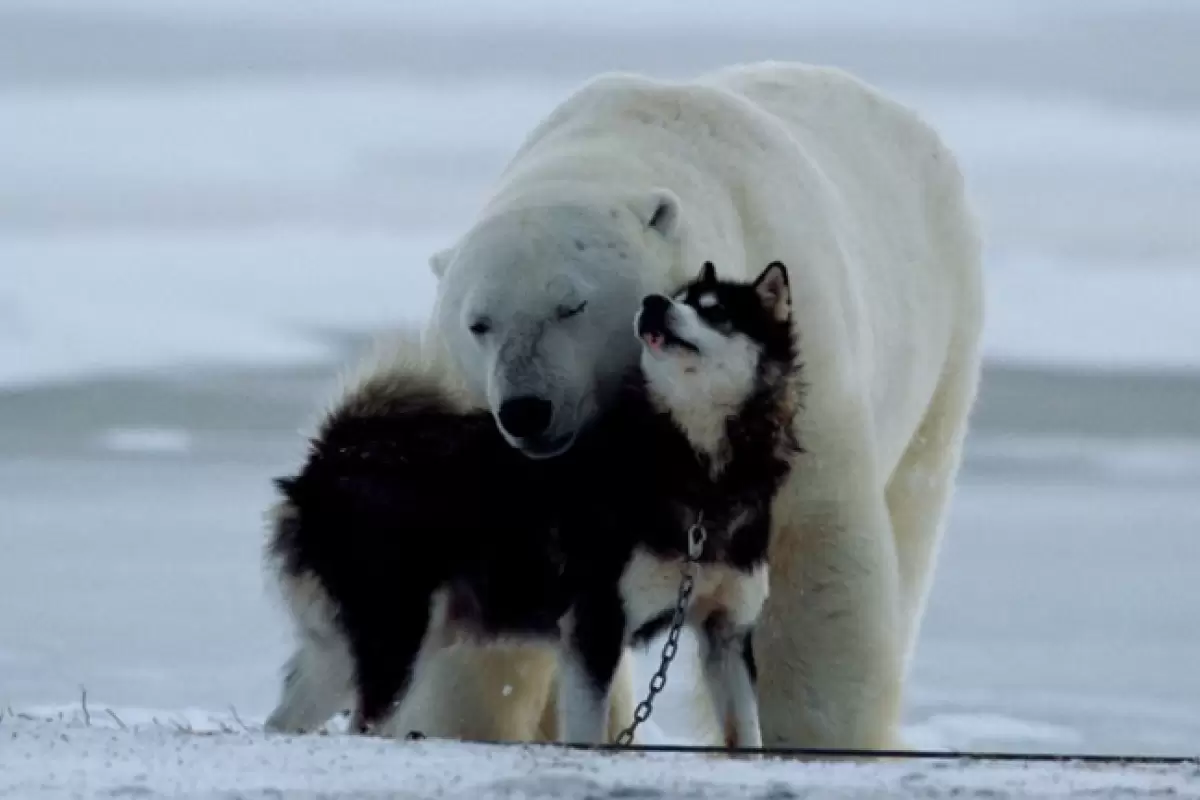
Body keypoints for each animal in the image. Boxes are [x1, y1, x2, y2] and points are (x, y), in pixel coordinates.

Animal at [267, 260, 801, 748]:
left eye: (715, 311)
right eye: (678, 297)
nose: (652, 303)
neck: (696, 469)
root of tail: (334, 454)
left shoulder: (727, 632)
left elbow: (746, 736)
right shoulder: (595, 624)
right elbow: (587, 733)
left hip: (347, 651)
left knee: (286, 720)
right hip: (394, 636)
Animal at [398, 62, 979, 753]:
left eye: (572, 305)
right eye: (479, 322)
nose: (525, 409)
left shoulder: (794, 387)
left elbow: (813, 570)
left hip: (944, 336)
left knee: (913, 506)